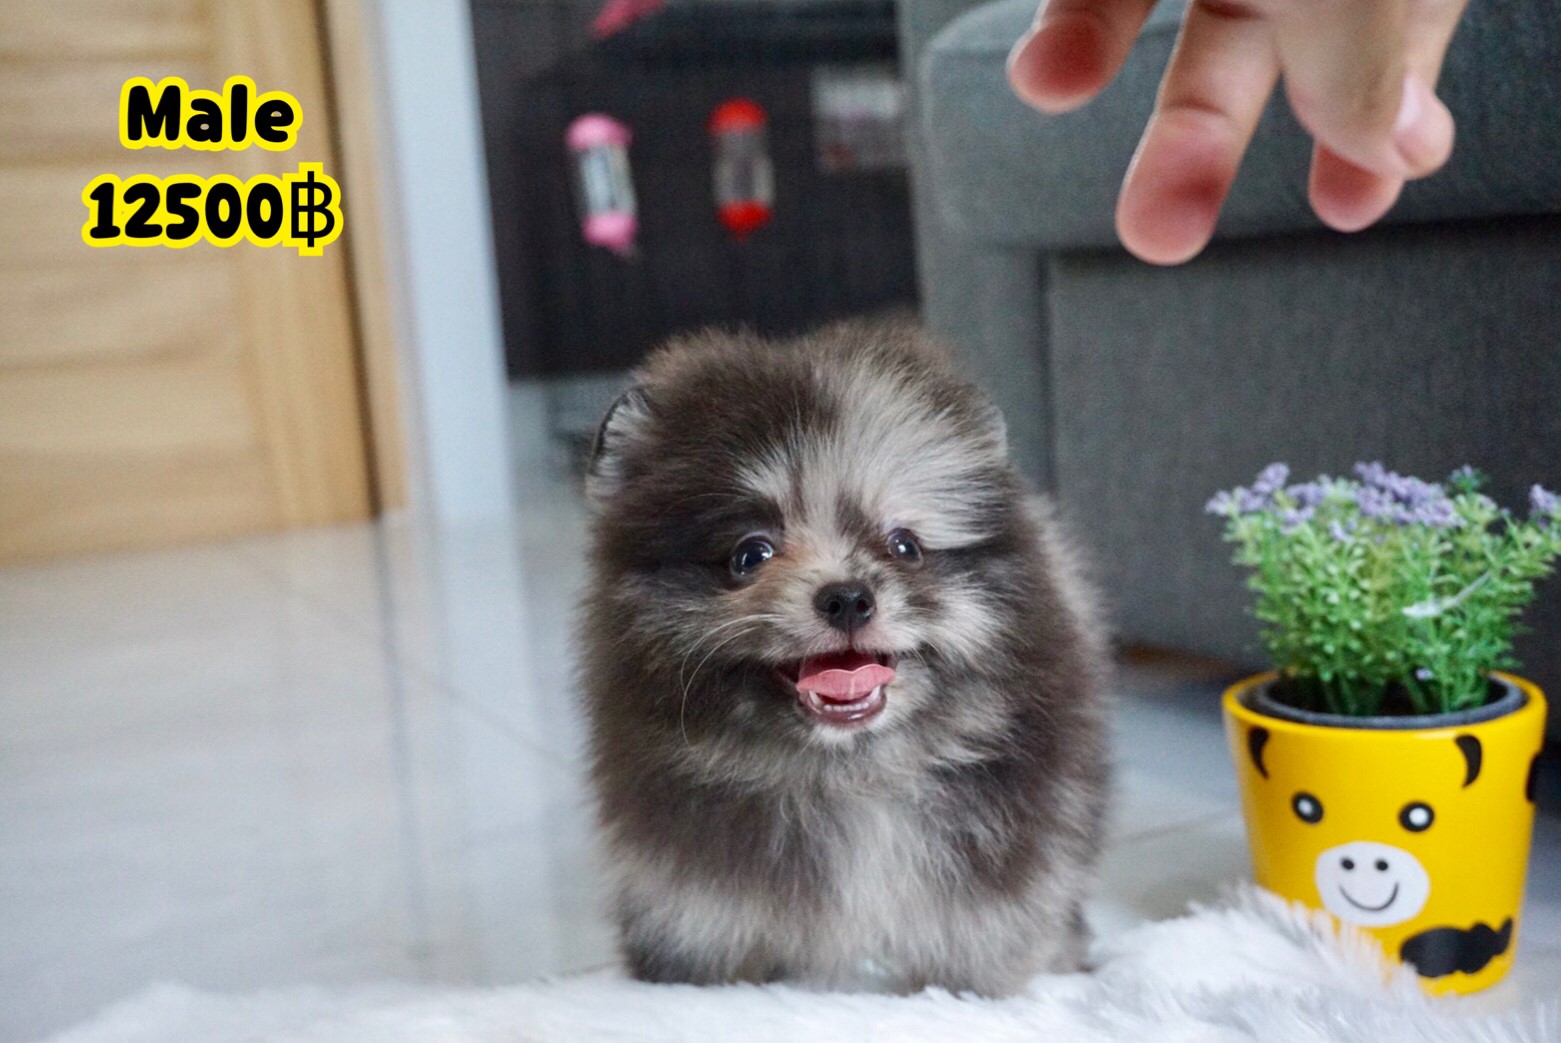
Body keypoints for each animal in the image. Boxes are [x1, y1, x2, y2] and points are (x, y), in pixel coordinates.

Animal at [578, 320, 1110, 996]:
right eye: (750, 555)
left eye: (904, 546)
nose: (849, 597)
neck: (847, 776)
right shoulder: (695, 914)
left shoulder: (992, 911)